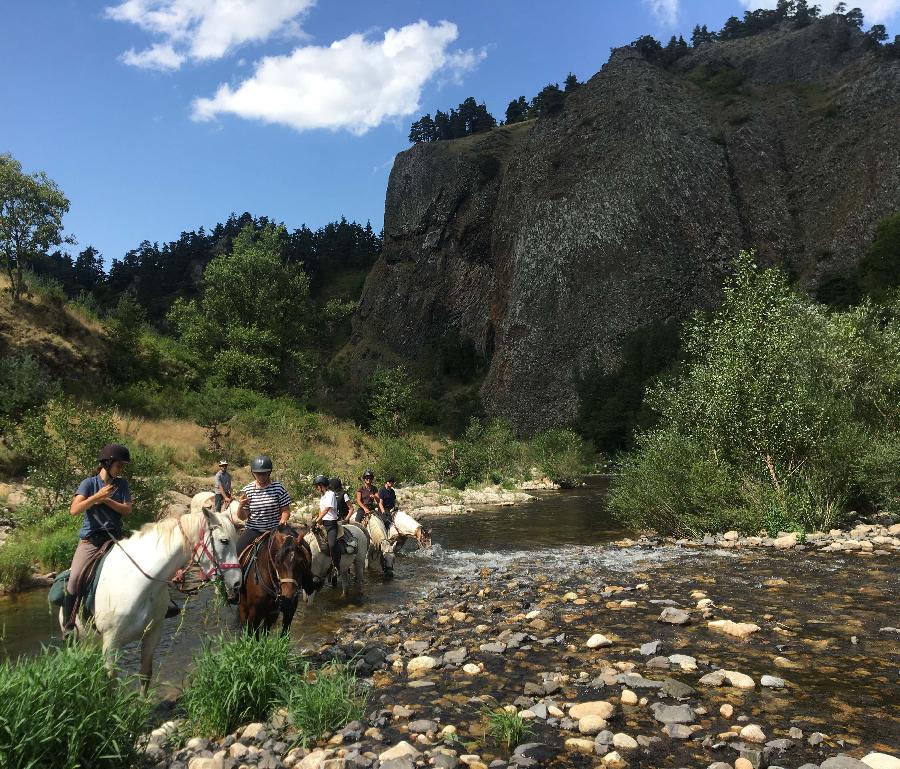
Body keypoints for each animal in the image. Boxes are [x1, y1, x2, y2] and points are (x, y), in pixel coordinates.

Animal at [59, 508, 243, 692]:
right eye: (224, 541)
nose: (237, 583)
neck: (139, 582)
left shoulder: (152, 634)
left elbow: (145, 675)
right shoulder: (111, 643)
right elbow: (111, 684)